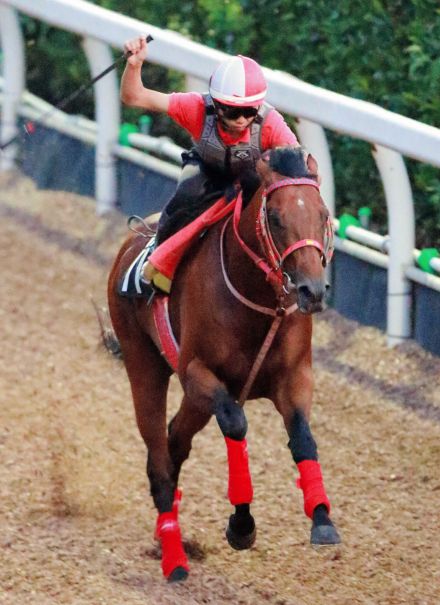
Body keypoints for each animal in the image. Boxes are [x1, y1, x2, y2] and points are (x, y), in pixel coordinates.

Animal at [106, 145, 340, 580]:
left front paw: (322, 520)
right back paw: (174, 557)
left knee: (175, 440)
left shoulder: (295, 377)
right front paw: (242, 524)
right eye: (275, 217)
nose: (312, 291)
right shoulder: (198, 373)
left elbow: (302, 437)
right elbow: (235, 423)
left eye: (323, 215)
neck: (257, 297)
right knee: (159, 456)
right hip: (143, 362)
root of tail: (134, 236)